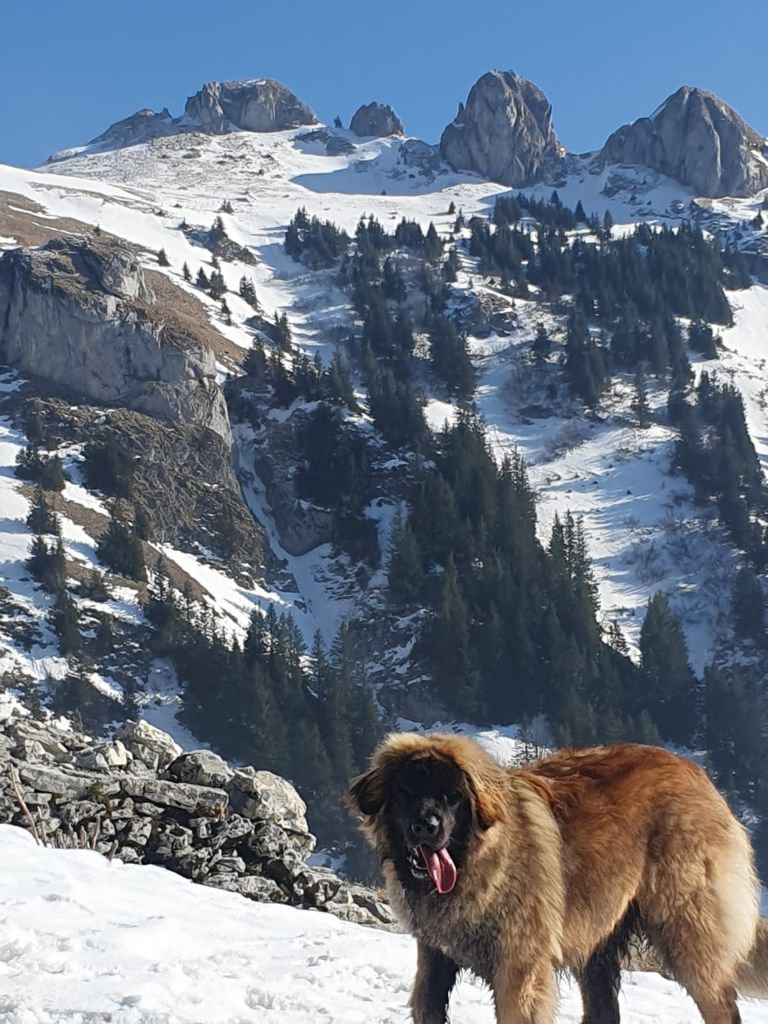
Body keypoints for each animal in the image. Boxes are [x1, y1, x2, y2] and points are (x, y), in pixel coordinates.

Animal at [348, 737, 768, 1024]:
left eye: (453, 797)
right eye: (406, 793)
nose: (427, 826)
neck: (477, 864)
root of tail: (697, 775)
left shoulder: (520, 970)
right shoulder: (435, 960)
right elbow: (429, 1004)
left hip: (687, 929)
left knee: (721, 1004)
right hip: (598, 942)